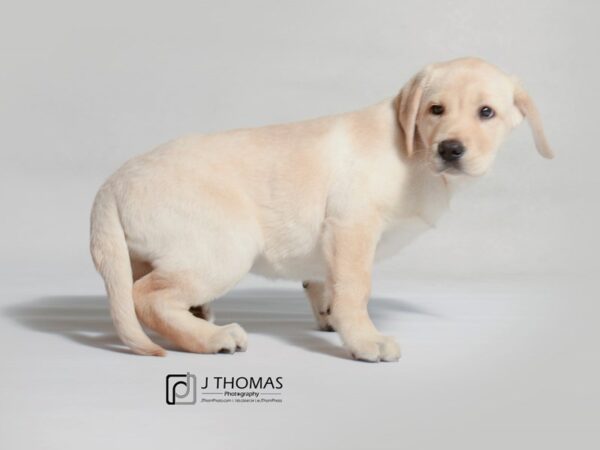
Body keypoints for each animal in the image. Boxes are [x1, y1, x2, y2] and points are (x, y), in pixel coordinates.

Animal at [89, 57, 552, 362]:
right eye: (435, 109)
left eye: (486, 113)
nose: (451, 149)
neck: (414, 152)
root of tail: (111, 184)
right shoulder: (352, 226)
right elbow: (355, 289)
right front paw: (365, 340)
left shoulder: (332, 242)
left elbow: (324, 283)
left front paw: (331, 319)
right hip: (226, 246)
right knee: (145, 297)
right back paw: (211, 337)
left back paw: (201, 316)